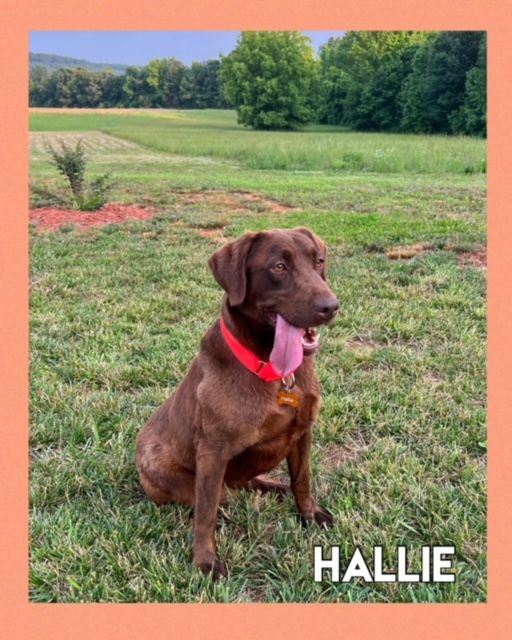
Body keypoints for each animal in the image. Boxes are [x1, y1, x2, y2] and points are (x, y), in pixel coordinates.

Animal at [136, 227, 339, 579]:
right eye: (279, 267)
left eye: (319, 261)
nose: (331, 306)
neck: (273, 370)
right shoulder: (213, 452)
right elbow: (205, 514)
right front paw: (205, 561)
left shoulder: (303, 432)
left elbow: (302, 479)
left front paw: (309, 514)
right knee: (222, 496)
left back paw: (275, 487)